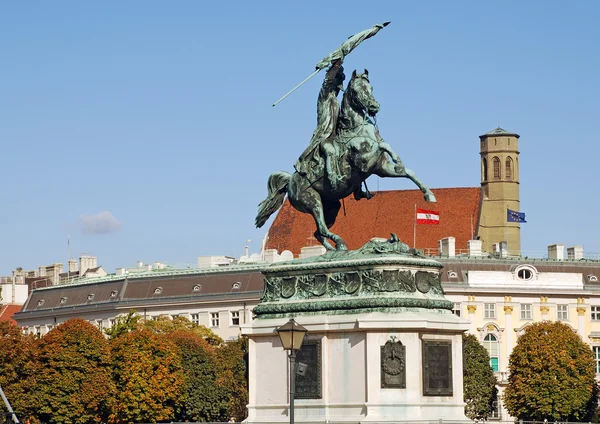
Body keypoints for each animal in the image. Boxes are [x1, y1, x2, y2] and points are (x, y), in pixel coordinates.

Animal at [254, 68, 436, 250]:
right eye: (356, 90)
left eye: (371, 88)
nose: (374, 107)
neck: (357, 129)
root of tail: (290, 181)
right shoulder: (365, 162)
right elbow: (384, 145)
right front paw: (398, 161)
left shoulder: (381, 168)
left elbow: (408, 171)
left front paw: (428, 194)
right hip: (312, 201)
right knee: (322, 228)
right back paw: (340, 245)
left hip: (332, 207)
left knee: (319, 232)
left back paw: (335, 249)